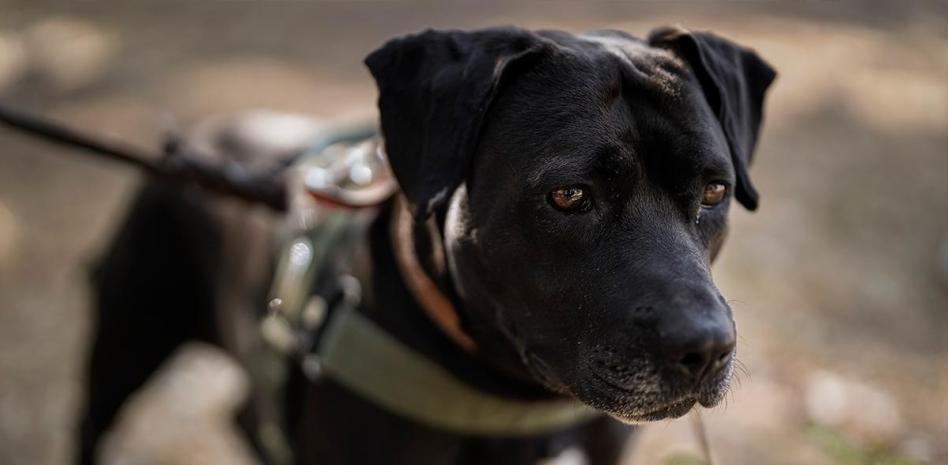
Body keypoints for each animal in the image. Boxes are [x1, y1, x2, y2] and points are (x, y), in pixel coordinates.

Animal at [77, 26, 775, 465]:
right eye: (569, 195)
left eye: (714, 190)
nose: (706, 347)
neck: (508, 400)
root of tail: (197, 142)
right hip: (123, 342)